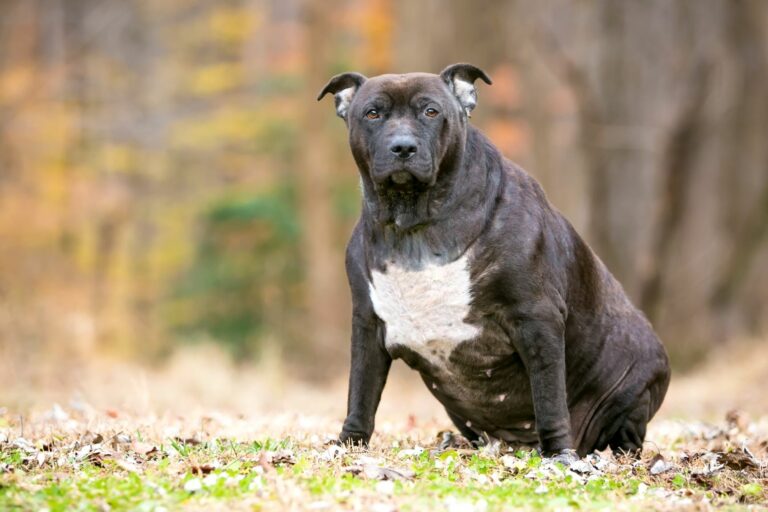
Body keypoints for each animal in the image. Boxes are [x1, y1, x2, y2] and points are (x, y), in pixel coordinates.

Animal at [316, 62, 668, 458]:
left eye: (431, 111)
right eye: (372, 113)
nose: (403, 146)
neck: (415, 225)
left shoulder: (536, 318)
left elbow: (549, 397)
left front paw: (559, 456)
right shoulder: (367, 323)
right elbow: (360, 394)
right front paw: (348, 444)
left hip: (635, 385)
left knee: (626, 432)